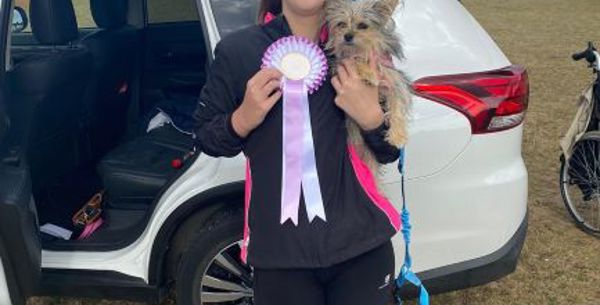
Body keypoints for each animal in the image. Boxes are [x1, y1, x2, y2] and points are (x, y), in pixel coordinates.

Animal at [324, 0, 412, 188]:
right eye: (341, 24)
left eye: (363, 26)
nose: (347, 36)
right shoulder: (341, 64)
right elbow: (353, 60)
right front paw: (369, 73)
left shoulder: (394, 81)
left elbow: (398, 107)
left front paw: (398, 135)